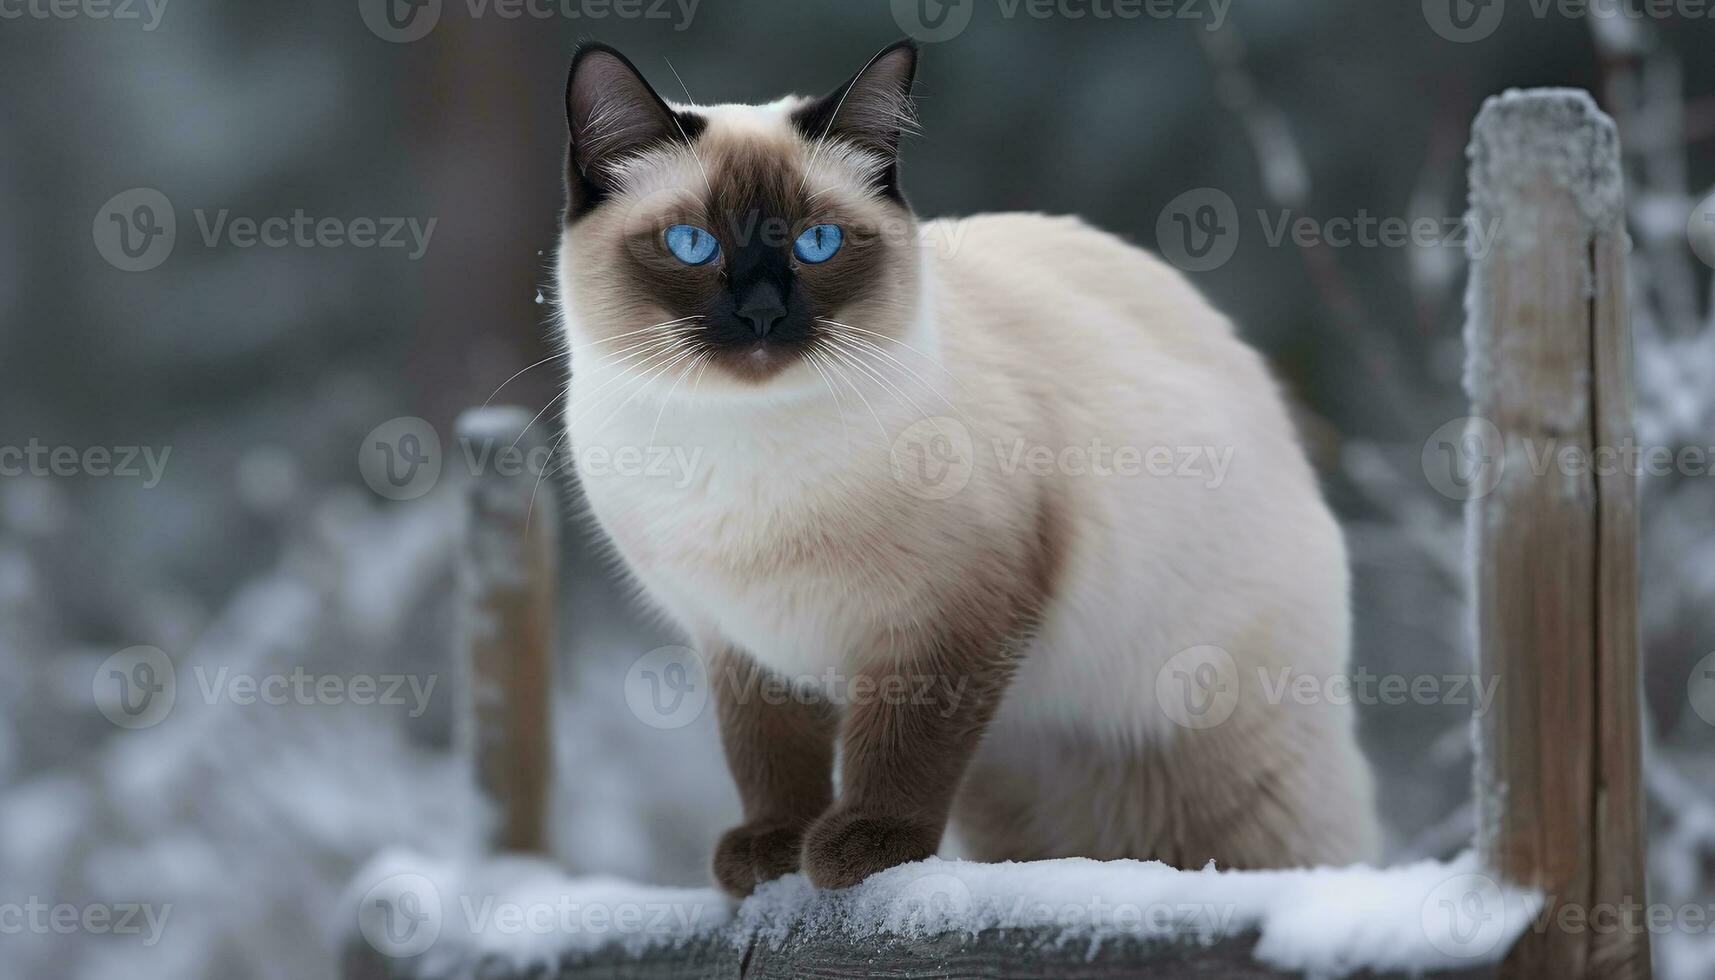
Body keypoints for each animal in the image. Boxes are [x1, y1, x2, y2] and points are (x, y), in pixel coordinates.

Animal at [555, 38, 1385, 899]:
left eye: (817, 243)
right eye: (693, 245)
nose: (761, 314)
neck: (743, 443)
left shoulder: (951, 621)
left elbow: (902, 747)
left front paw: (862, 847)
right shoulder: (739, 644)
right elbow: (768, 758)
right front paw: (771, 854)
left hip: (1221, 765)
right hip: (1015, 782)